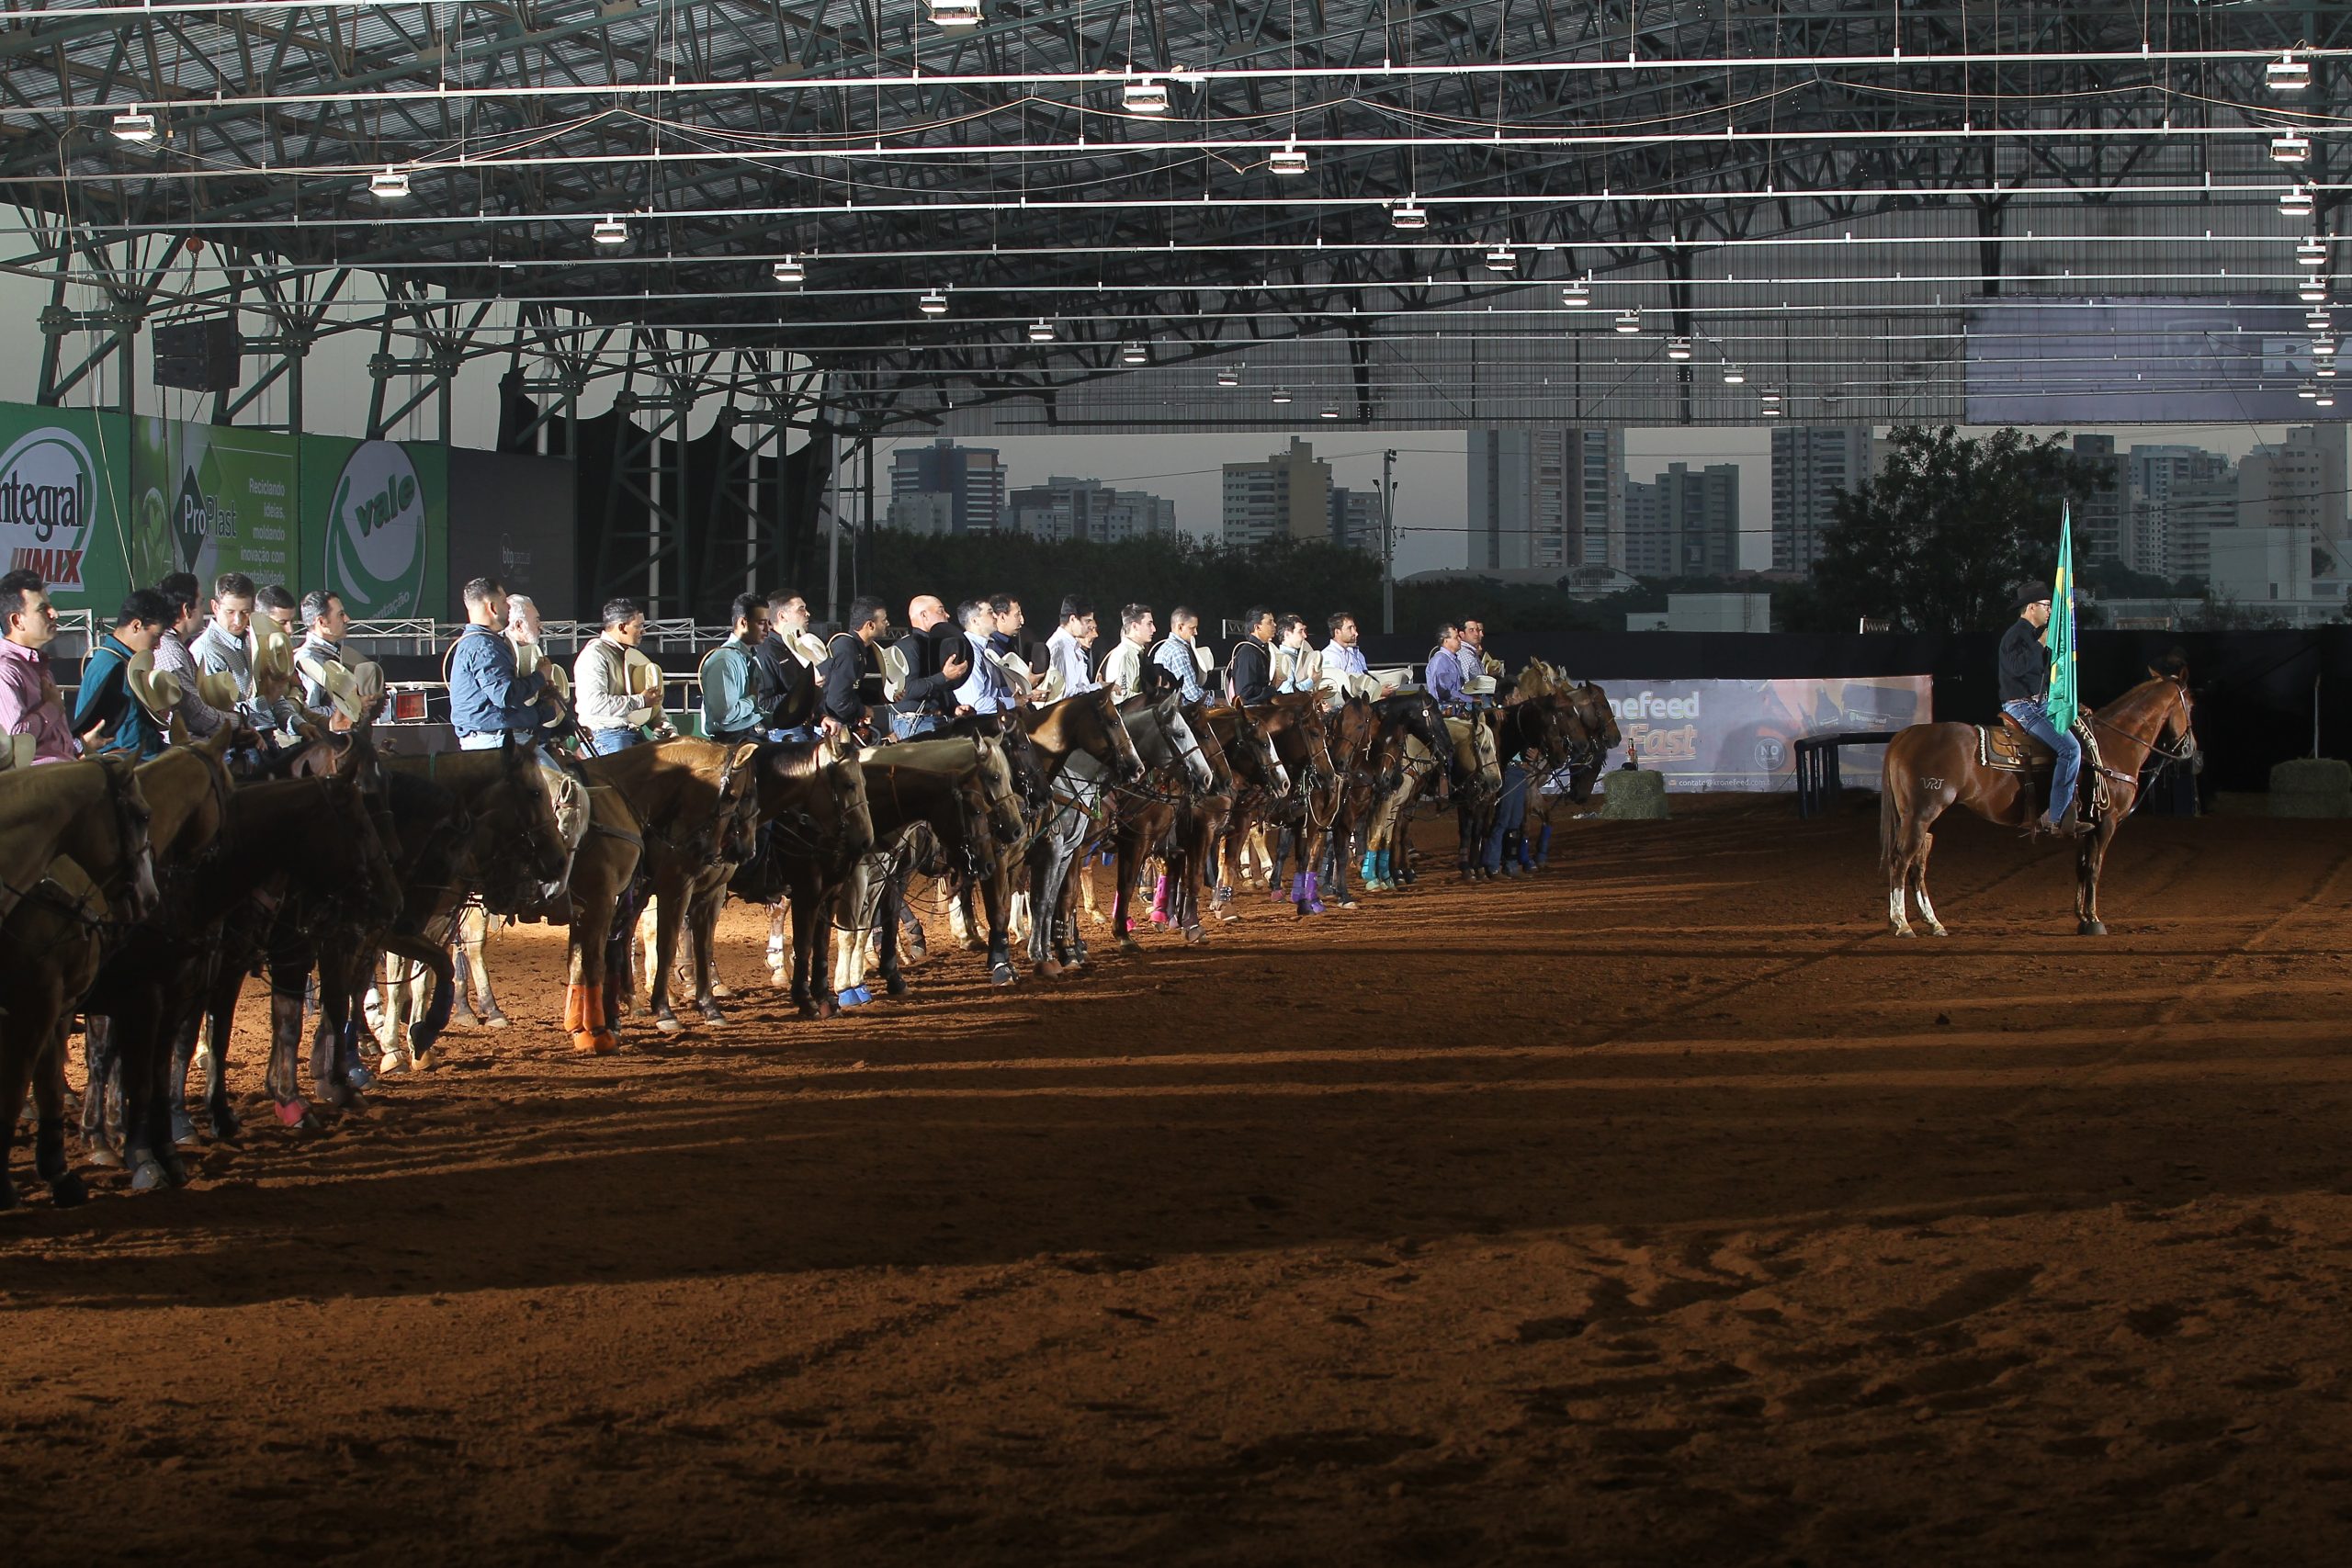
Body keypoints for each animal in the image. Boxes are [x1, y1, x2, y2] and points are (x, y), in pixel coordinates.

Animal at [1871, 667, 2201, 940]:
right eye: (2191, 705)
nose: (2191, 751)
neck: (2112, 745)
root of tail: (1908, 733)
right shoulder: (2106, 823)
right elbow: (2094, 868)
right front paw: (2094, 920)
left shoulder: (2085, 825)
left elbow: (2081, 867)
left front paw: (2082, 917)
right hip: (1920, 813)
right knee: (1901, 860)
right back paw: (1902, 924)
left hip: (1922, 819)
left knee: (1918, 863)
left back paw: (1933, 923)